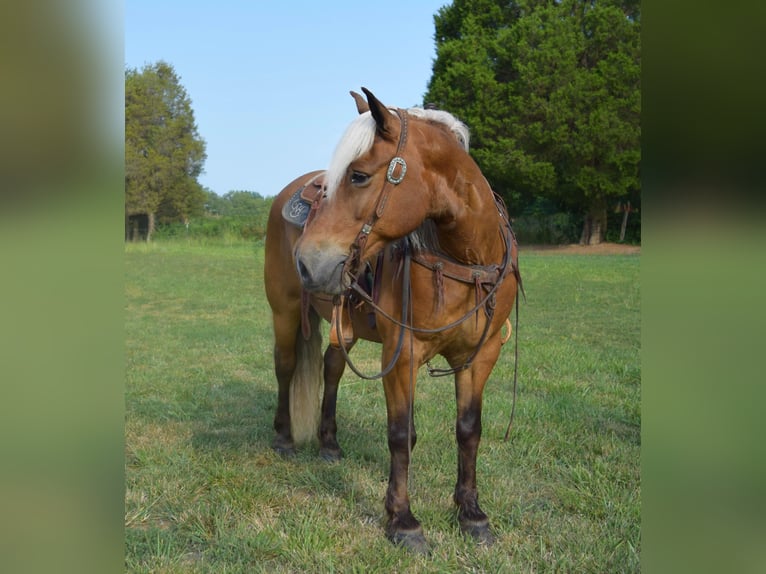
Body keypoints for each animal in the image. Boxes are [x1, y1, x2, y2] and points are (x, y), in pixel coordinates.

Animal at [264, 89, 520, 552]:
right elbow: (401, 434)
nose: (309, 262)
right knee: (286, 368)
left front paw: (471, 513)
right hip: (286, 311)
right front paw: (403, 520)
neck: (467, 258)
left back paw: (329, 444)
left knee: (331, 369)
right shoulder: (402, 354)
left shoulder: (480, 355)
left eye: (359, 176)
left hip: (340, 324)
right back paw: (284, 438)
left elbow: (469, 429)